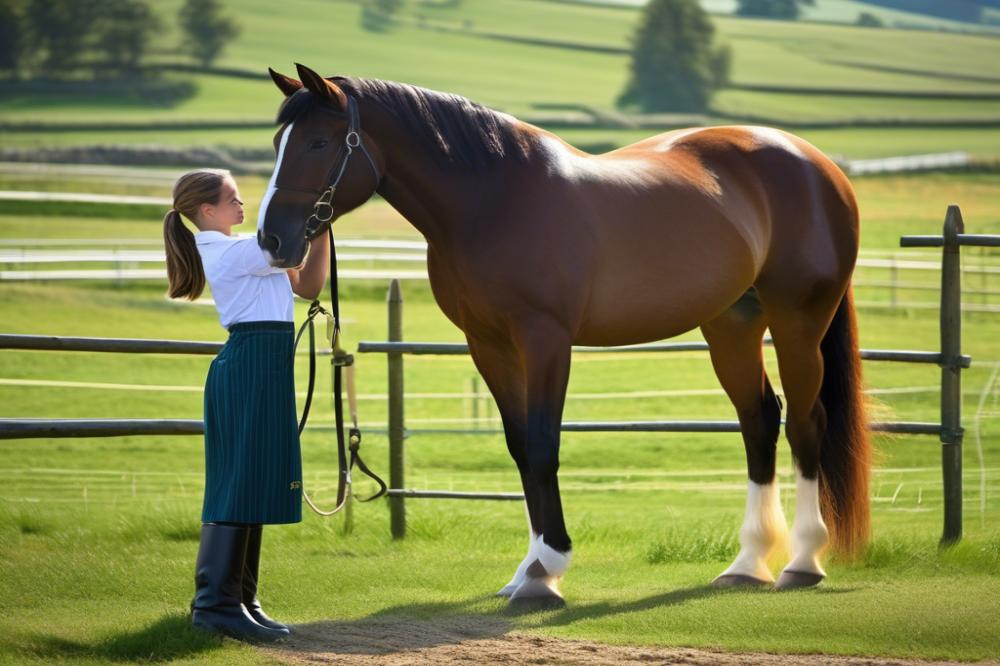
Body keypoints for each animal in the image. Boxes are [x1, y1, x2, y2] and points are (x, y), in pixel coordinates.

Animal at [258, 63, 871, 609]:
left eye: (317, 143)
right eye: (278, 141)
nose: (272, 240)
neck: (492, 200)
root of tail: (819, 165)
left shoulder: (545, 339)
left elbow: (542, 445)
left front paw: (545, 572)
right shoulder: (489, 345)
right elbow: (519, 447)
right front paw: (528, 570)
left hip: (798, 319)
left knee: (807, 422)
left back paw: (801, 562)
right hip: (731, 324)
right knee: (760, 420)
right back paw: (747, 564)